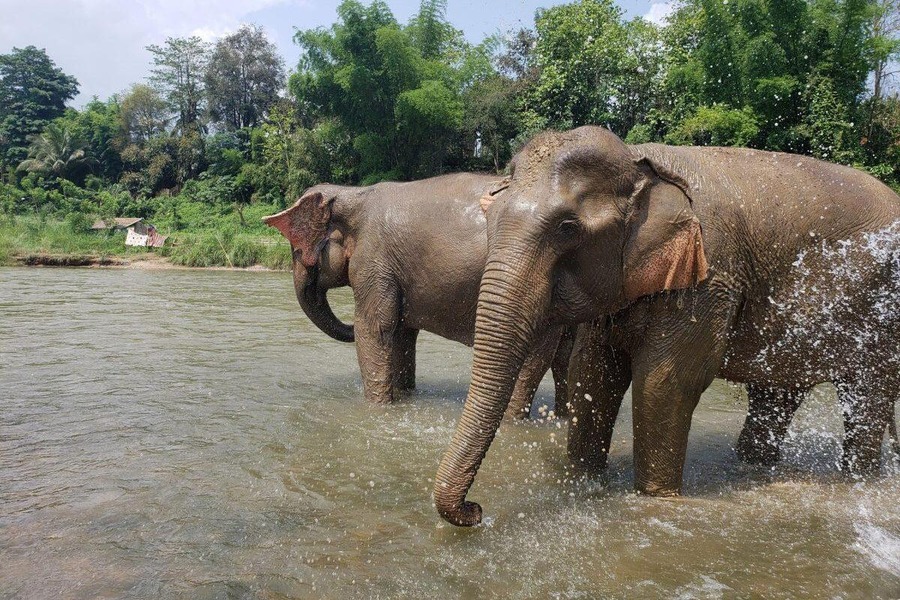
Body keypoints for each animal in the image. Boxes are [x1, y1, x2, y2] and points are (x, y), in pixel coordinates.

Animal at [263, 173, 574, 418]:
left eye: (296, 251)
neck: (353, 193)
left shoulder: (374, 261)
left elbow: (375, 328)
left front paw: (377, 410)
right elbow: (401, 332)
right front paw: (403, 398)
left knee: (535, 357)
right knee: (563, 357)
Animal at [432, 125, 900, 526]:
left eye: (567, 228)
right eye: (489, 218)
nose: (475, 510)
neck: (642, 163)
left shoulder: (710, 278)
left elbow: (665, 382)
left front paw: (656, 499)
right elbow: (593, 371)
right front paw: (584, 480)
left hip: (884, 319)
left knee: (867, 398)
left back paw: (856, 478)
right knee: (776, 395)